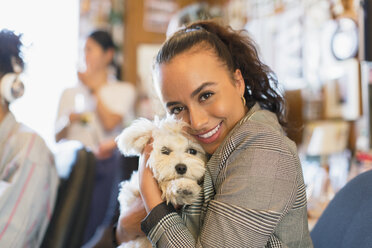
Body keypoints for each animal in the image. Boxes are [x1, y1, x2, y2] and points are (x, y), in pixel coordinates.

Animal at [115, 115, 206, 247]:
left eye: (192, 151)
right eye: (165, 151)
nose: (181, 167)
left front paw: (185, 188)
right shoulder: (130, 194)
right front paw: (182, 187)